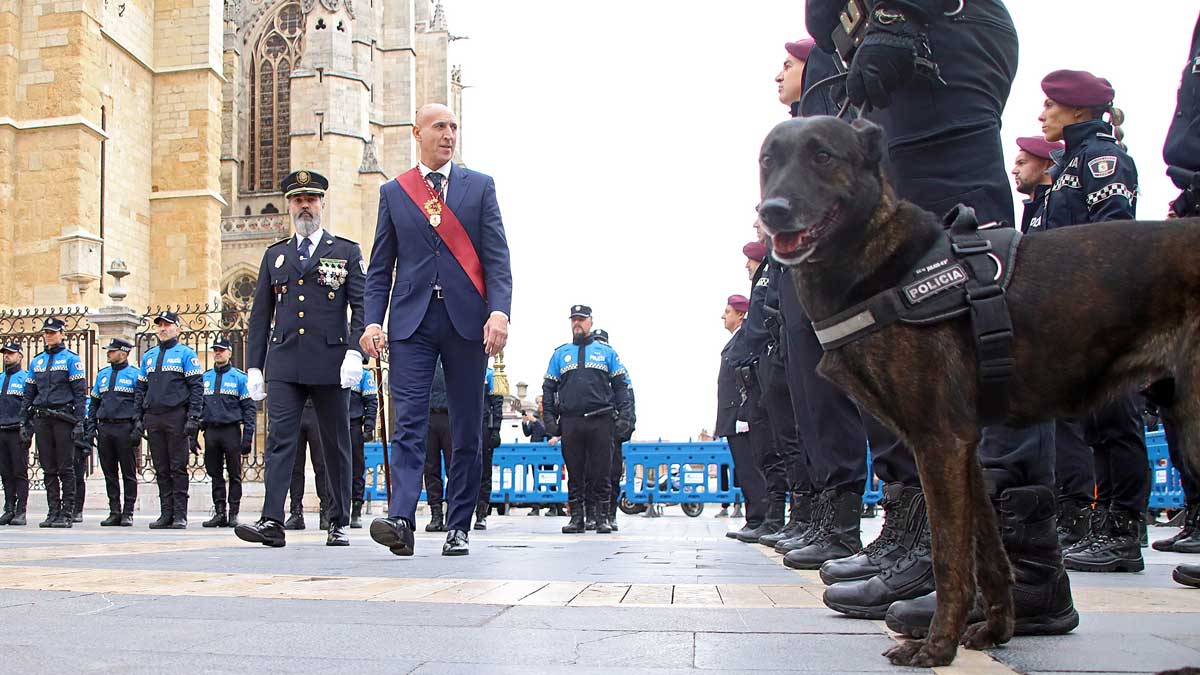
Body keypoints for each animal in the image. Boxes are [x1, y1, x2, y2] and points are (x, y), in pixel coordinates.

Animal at [758, 114, 1200, 662]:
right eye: (768, 160)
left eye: (823, 156)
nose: (772, 211)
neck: (885, 264)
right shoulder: (964, 448)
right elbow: (987, 552)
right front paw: (993, 631)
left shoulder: (939, 441)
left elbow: (949, 555)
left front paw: (935, 648)